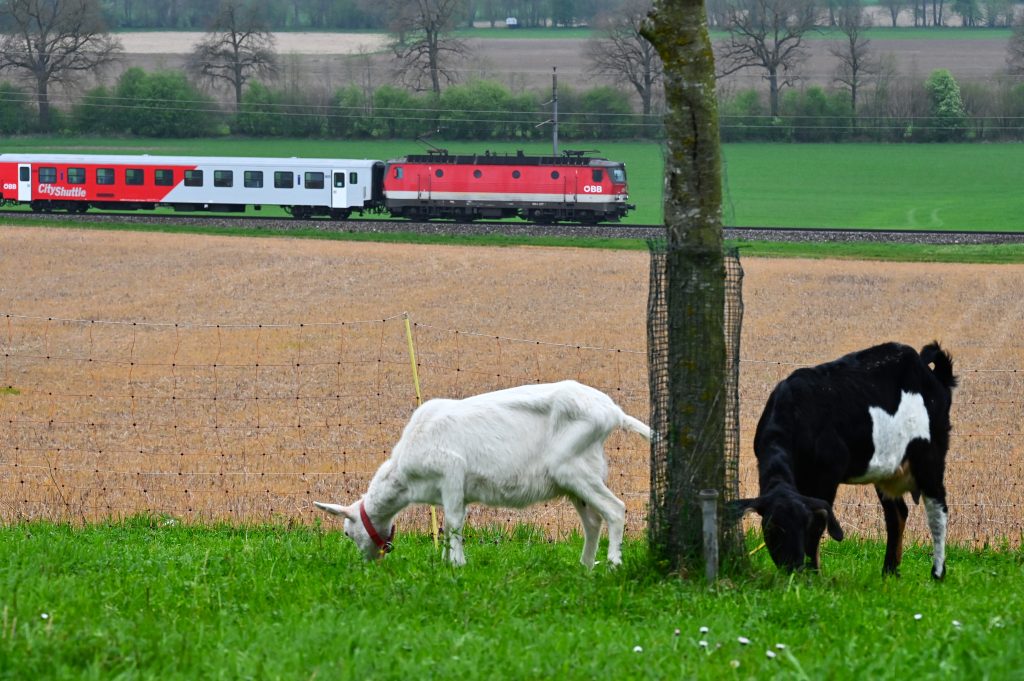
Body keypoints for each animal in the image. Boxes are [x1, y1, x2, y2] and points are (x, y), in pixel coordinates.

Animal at [315, 380, 651, 567]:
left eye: (346, 532)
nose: (369, 562)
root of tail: (614, 412)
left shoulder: (451, 472)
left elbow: (453, 523)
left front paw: (457, 565)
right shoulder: (450, 491)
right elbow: (446, 527)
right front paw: (447, 561)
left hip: (572, 468)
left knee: (616, 509)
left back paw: (613, 563)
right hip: (579, 474)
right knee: (593, 521)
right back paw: (585, 566)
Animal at [735, 342, 956, 579]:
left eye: (803, 526)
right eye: (772, 529)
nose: (793, 567)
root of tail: (933, 375)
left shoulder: (828, 473)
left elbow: (820, 523)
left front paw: (814, 575)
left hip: (930, 455)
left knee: (938, 511)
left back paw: (937, 573)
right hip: (887, 467)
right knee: (897, 514)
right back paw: (889, 572)